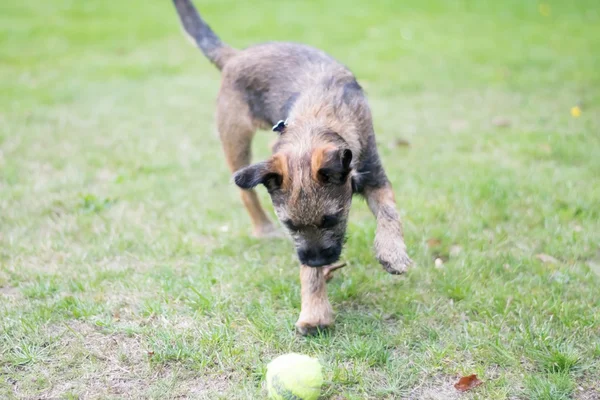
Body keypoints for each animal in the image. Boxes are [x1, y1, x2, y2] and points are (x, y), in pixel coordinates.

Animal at [171, 0, 410, 336]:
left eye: (331, 219)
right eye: (290, 225)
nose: (317, 260)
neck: (317, 120)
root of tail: (236, 55)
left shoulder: (374, 174)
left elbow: (389, 213)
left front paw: (392, 253)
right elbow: (307, 272)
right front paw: (315, 310)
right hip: (235, 139)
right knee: (246, 194)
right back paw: (263, 229)